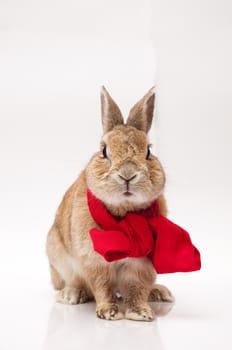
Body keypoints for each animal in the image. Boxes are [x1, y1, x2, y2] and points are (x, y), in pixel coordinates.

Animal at [46, 86, 174, 322]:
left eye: (149, 152)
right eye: (104, 151)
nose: (127, 175)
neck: (124, 217)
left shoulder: (141, 265)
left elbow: (137, 288)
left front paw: (140, 313)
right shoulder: (95, 261)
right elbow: (102, 286)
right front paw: (109, 312)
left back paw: (159, 292)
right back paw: (72, 294)